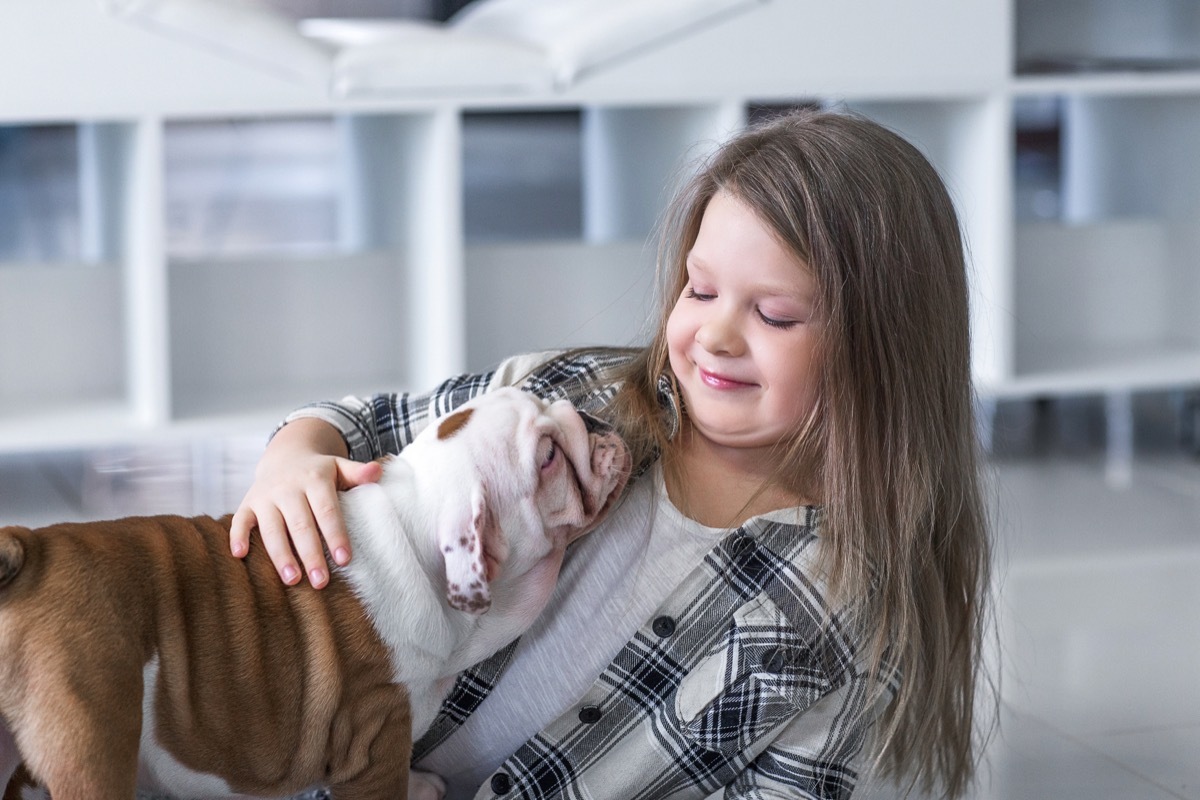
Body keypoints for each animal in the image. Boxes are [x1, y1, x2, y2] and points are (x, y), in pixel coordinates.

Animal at [0, 388, 633, 800]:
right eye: (548, 457)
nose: (585, 413)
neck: (413, 529)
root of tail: (28, 553)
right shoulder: (374, 737)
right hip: (92, 731)